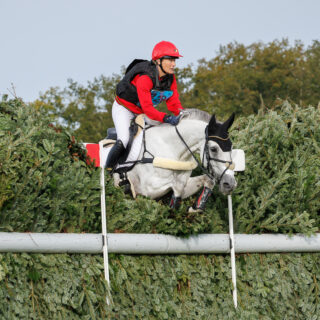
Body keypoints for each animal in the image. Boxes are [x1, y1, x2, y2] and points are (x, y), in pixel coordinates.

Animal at [107, 109, 238, 211]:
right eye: (213, 149)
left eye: (231, 147)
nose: (230, 184)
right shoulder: (148, 190)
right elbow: (177, 187)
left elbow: (208, 180)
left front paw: (195, 208)